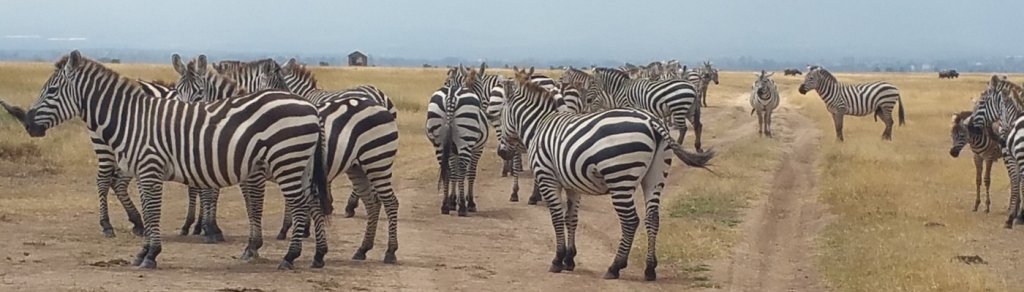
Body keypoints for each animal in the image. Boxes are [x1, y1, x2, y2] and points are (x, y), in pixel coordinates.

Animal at [23, 49, 327, 268]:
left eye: (51, 91)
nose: (27, 124)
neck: (131, 118)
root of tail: (309, 106)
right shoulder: (146, 171)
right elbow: (150, 210)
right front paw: (145, 250)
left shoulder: (150, 168)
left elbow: (155, 210)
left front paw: (152, 254)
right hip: (298, 164)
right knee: (309, 202)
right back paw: (314, 255)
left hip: (288, 161)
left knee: (301, 204)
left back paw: (290, 257)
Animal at [495, 69, 712, 280]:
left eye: (501, 115)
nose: (501, 152)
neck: (539, 126)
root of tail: (652, 121)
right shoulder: (572, 184)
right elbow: (571, 218)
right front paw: (569, 259)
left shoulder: (547, 178)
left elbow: (556, 217)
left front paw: (557, 260)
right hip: (655, 176)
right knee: (652, 218)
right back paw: (650, 269)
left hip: (620, 178)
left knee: (630, 221)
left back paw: (615, 267)